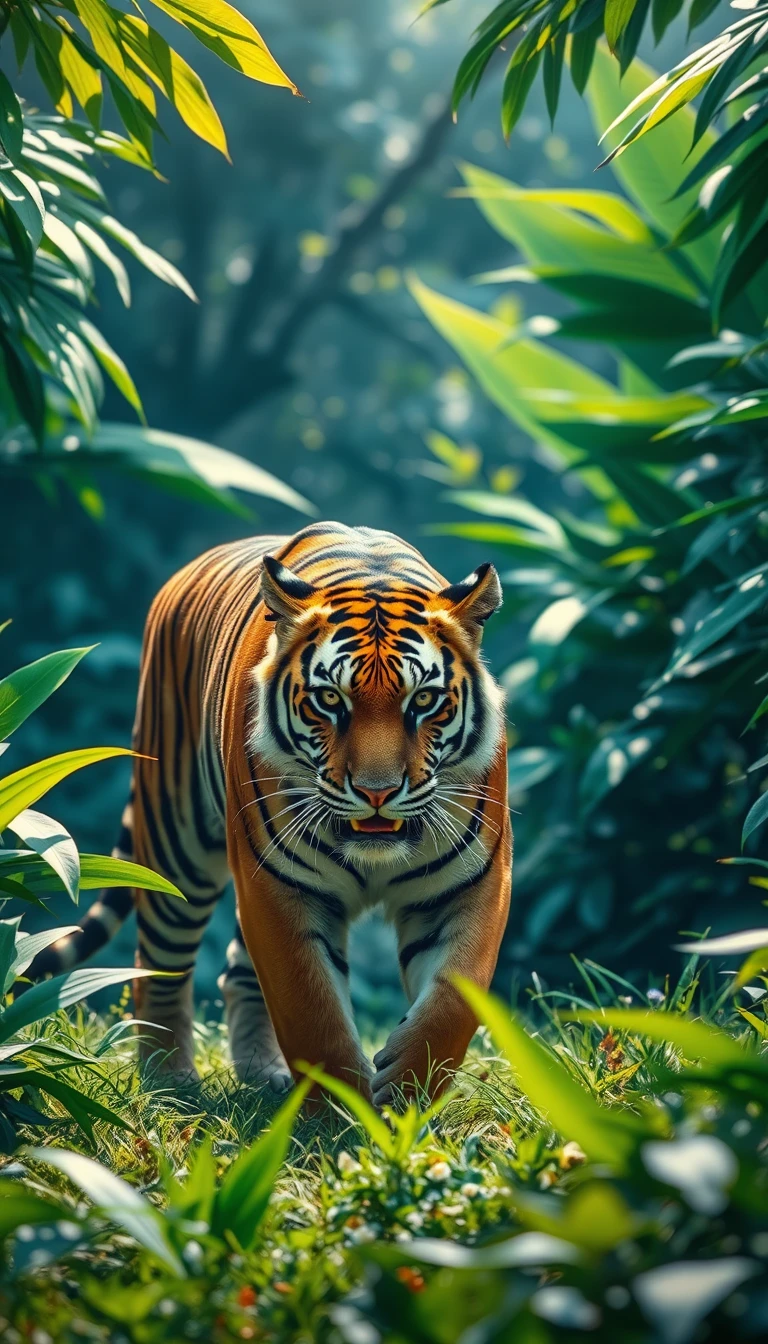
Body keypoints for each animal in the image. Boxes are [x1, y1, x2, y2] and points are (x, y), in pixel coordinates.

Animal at [31, 522, 512, 1104]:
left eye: (423, 701)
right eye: (330, 699)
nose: (376, 792)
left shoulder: (472, 884)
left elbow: (454, 1000)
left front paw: (405, 1097)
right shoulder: (277, 885)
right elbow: (312, 1011)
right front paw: (342, 1113)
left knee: (236, 970)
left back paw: (263, 1073)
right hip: (178, 844)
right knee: (161, 962)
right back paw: (169, 1080)